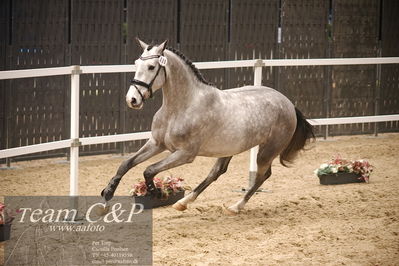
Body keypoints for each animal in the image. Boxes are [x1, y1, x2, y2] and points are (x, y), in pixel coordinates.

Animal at [101, 39, 316, 214]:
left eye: (152, 67)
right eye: (136, 64)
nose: (132, 100)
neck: (180, 108)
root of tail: (288, 103)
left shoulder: (185, 154)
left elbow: (149, 170)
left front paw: (157, 193)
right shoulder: (156, 143)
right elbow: (126, 163)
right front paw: (107, 194)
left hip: (267, 151)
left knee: (263, 176)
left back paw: (236, 207)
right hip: (229, 148)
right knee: (217, 172)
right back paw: (184, 202)